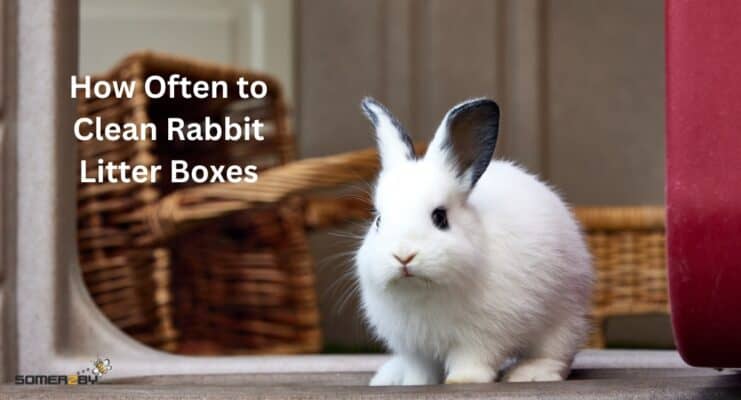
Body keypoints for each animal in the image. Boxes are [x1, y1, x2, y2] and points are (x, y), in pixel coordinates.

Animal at [355, 97, 594, 385]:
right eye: (378, 220)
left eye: (440, 217)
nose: (403, 255)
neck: (422, 291)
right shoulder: (414, 348)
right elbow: (420, 370)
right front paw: (415, 383)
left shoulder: (481, 336)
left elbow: (472, 360)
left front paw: (463, 380)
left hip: (562, 321)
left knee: (557, 355)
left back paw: (530, 373)